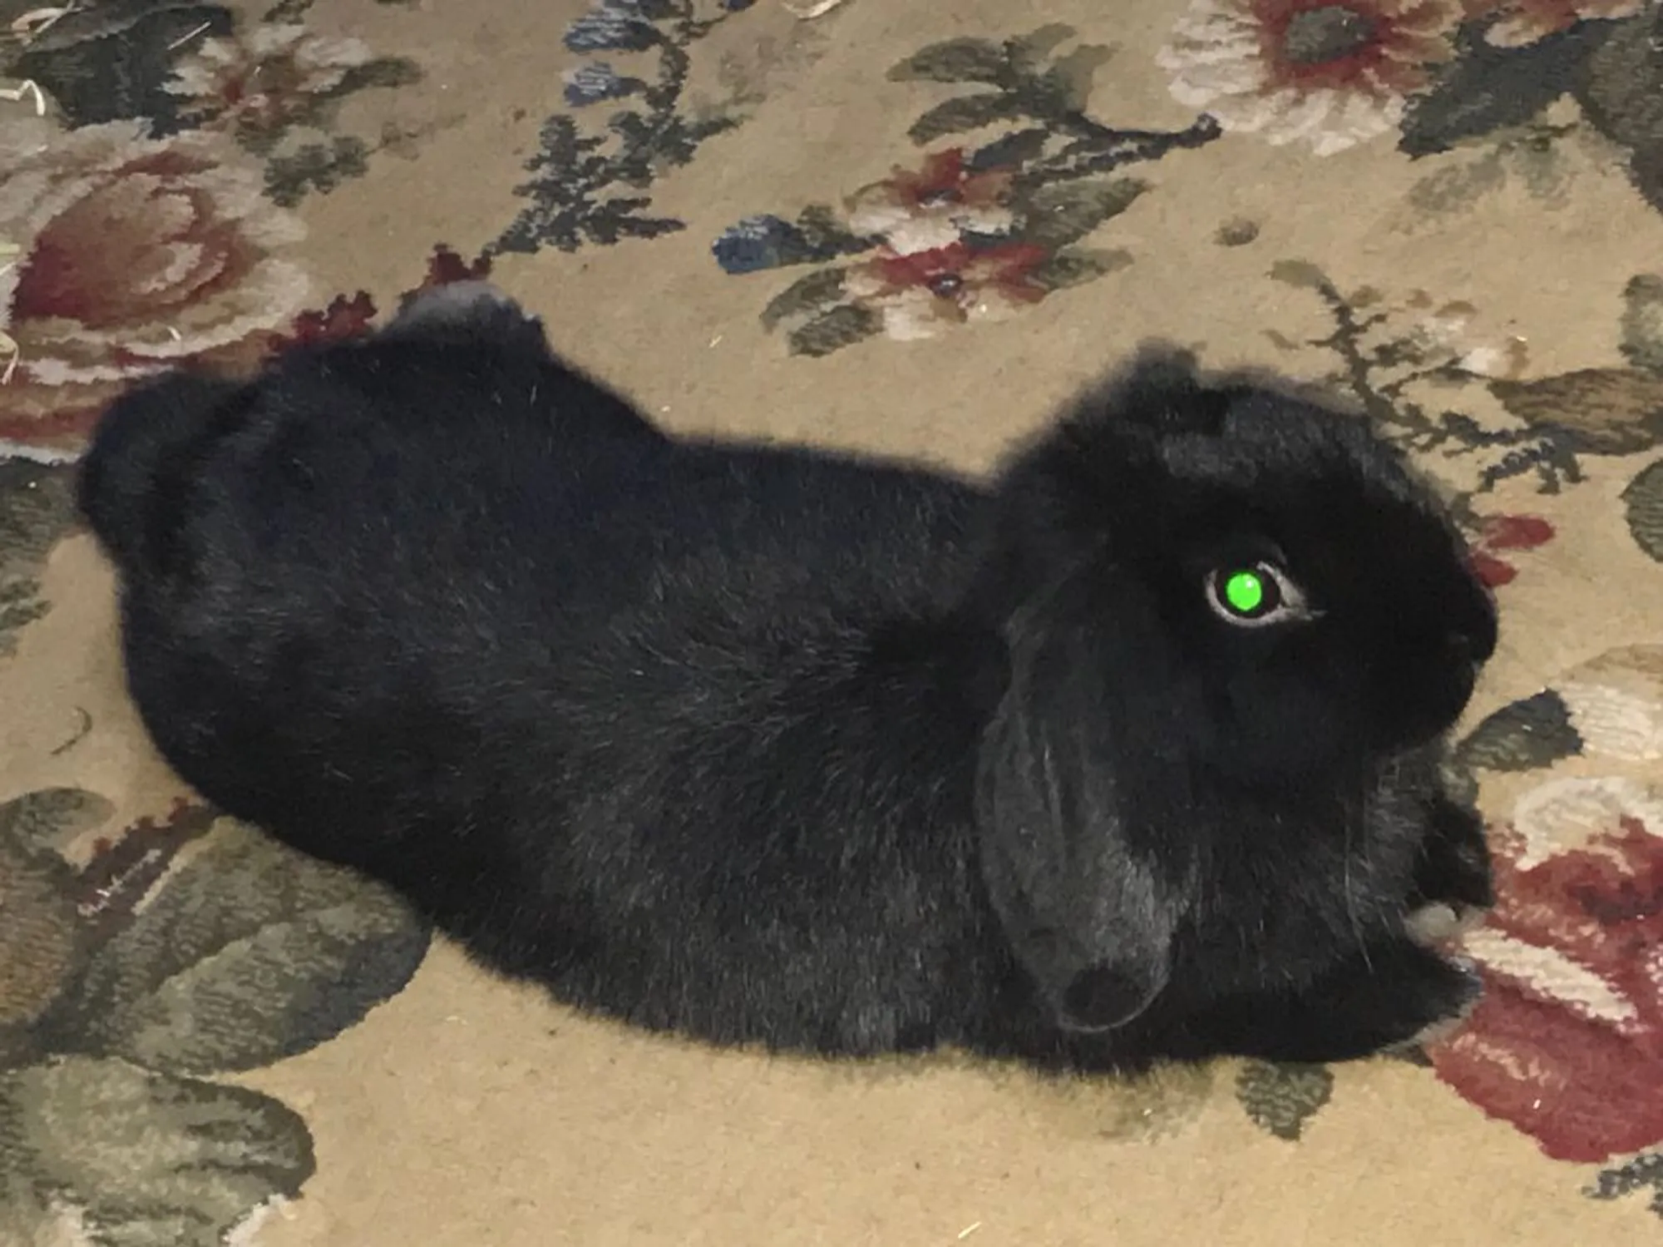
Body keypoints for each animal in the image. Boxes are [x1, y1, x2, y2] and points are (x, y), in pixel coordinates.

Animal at [80, 281, 1498, 1074]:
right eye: (1248, 591)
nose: (1473, 632)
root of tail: (180, 476)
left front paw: (1459, 868)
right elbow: (1265, 1006)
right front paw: (1431, 991)